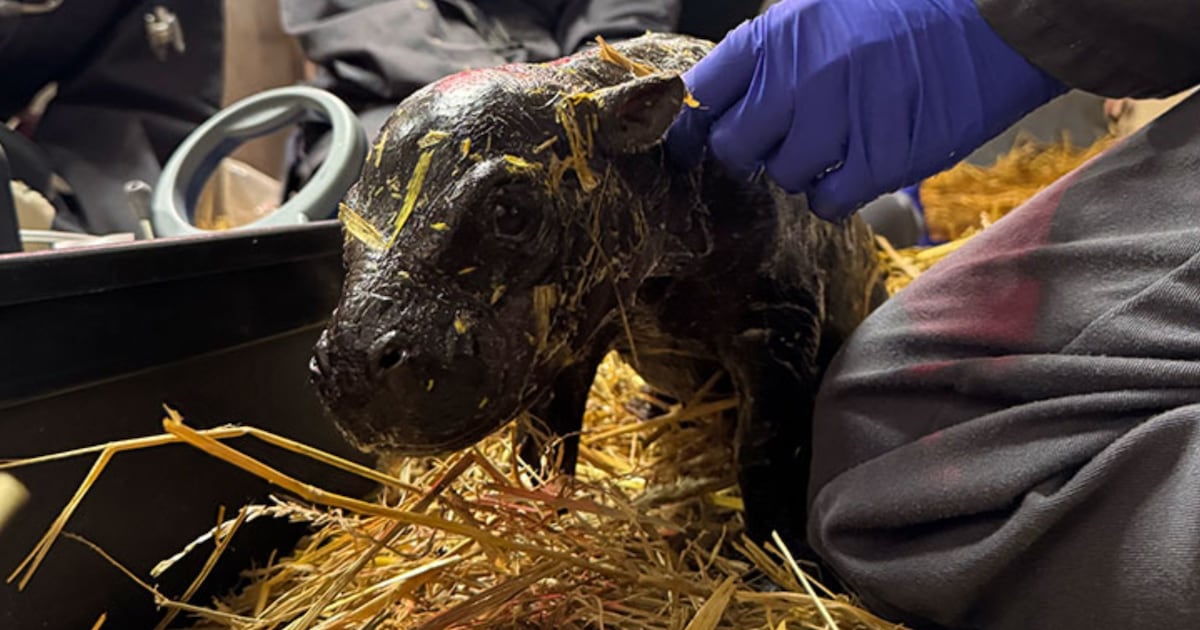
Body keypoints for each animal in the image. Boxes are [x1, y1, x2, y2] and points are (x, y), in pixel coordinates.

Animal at [309, 33, 888, 550]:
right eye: (347, 213)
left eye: (510, 211)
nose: (349, 363)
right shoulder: (569, 349)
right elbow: (544, 451)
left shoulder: (778, 324)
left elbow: (765, 450)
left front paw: (778, 557)